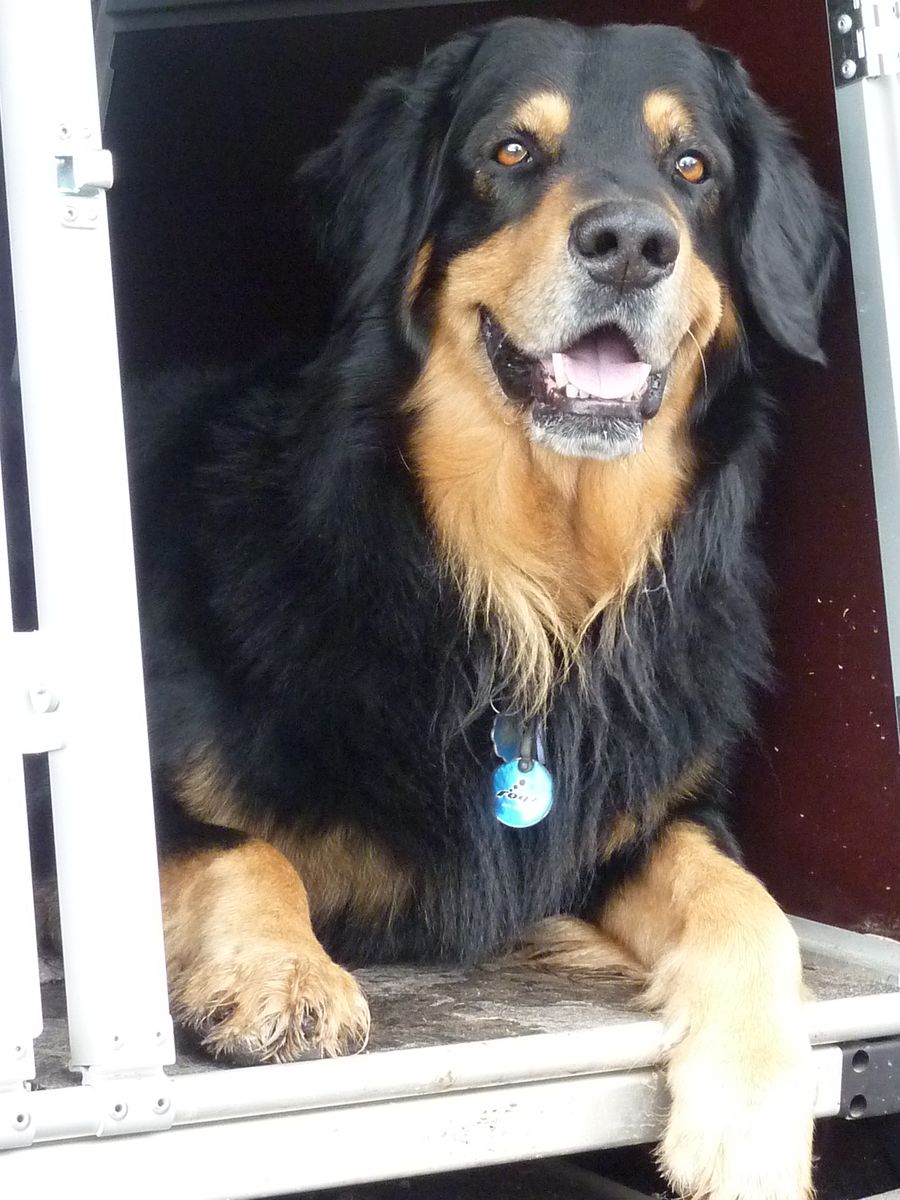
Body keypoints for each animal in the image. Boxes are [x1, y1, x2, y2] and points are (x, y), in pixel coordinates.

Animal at [126, 18, 838, 1200]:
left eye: (694, 169)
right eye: (510, 152)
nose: (632, 244)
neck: (522, 590)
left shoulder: (654, 816)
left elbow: (748, 905)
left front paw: (754, 1118)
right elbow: (240, 849)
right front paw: (284, 976)